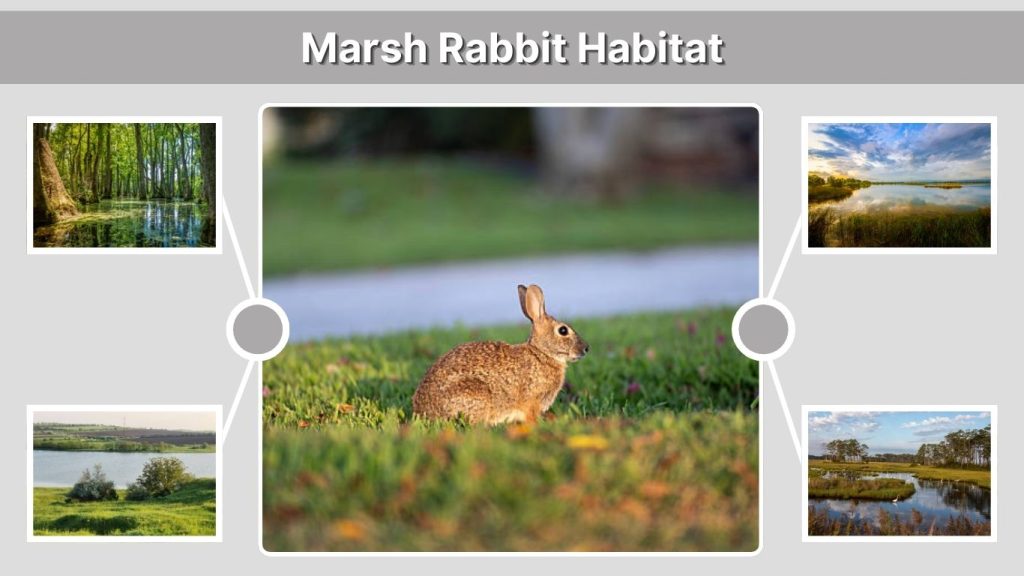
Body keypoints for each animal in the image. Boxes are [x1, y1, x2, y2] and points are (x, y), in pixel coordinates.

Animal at [412, 284, 589, 425]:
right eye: (563, 330)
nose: (586, 348)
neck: (541, 353)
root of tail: (422, 411)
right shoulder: (531, 400)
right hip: (475, 393)